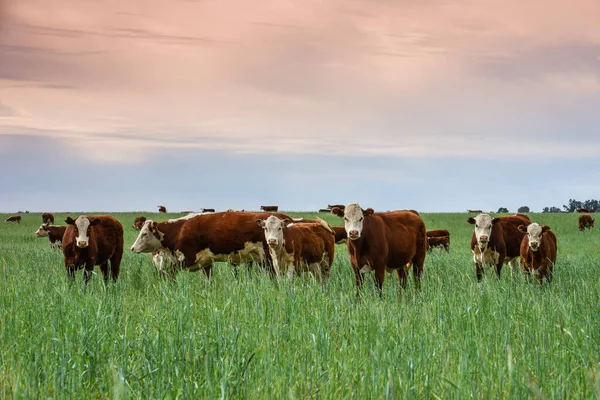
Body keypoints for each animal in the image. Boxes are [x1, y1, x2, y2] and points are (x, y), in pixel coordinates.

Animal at [130, 211, 292, 280]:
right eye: (141, 231)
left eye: (144, 233)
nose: (132, 248)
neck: (180, 229)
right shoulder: (205, 263)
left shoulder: (184, 260)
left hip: (269, 260)